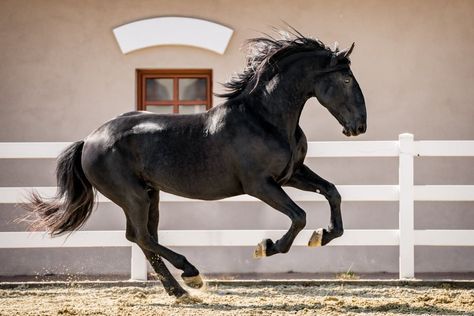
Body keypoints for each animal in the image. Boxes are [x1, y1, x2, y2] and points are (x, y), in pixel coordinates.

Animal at [25, 30, 366, 300]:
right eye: (347, 78)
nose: (359, 126)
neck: (264, 119)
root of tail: (89, 140)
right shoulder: (260, 185)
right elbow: (299, 216)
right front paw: (266, 246)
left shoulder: (291, 174)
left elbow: (332, 192)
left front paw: (323, 235)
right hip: (132, 196)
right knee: (142, 237)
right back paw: (191, 274)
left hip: (150, 195)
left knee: (142, 238)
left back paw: (180, 291)